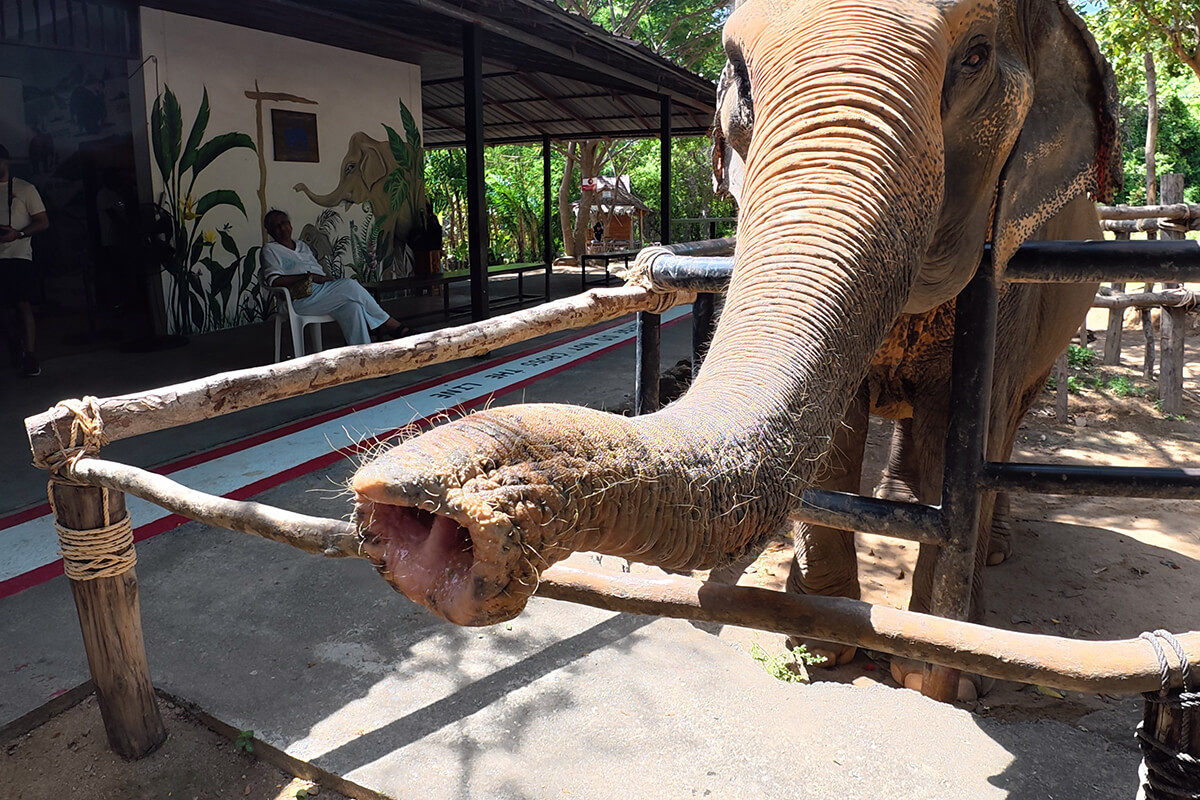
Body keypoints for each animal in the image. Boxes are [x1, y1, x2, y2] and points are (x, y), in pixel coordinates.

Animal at [349, 0, 1120, 698]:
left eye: (977, 57)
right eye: (739, 78)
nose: (420, 512)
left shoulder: (1012, 272)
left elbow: (971, 423)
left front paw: (939, 677)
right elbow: (831, 440)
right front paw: (820, 643)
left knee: (1005, 424)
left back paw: (989, 552)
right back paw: (897, 505)